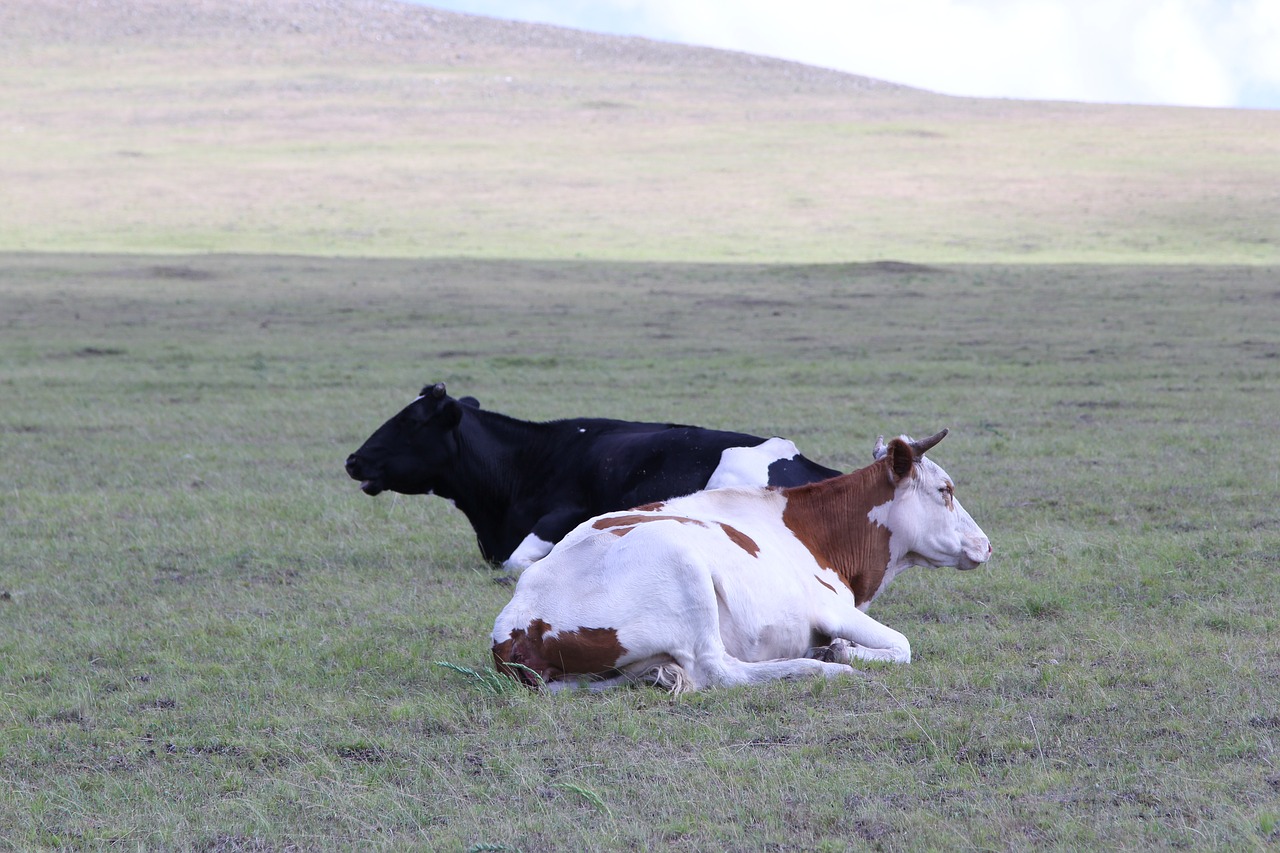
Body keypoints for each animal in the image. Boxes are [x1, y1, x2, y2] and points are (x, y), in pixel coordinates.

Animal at [488, 432, 988, 691]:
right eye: (945, 490)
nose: (985, 544)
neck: (816, 532)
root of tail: (515, 628)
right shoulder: (830, 608)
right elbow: (903, 645)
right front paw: (841, 651)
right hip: (685, 565)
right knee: (719, 670)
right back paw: (820, 665)